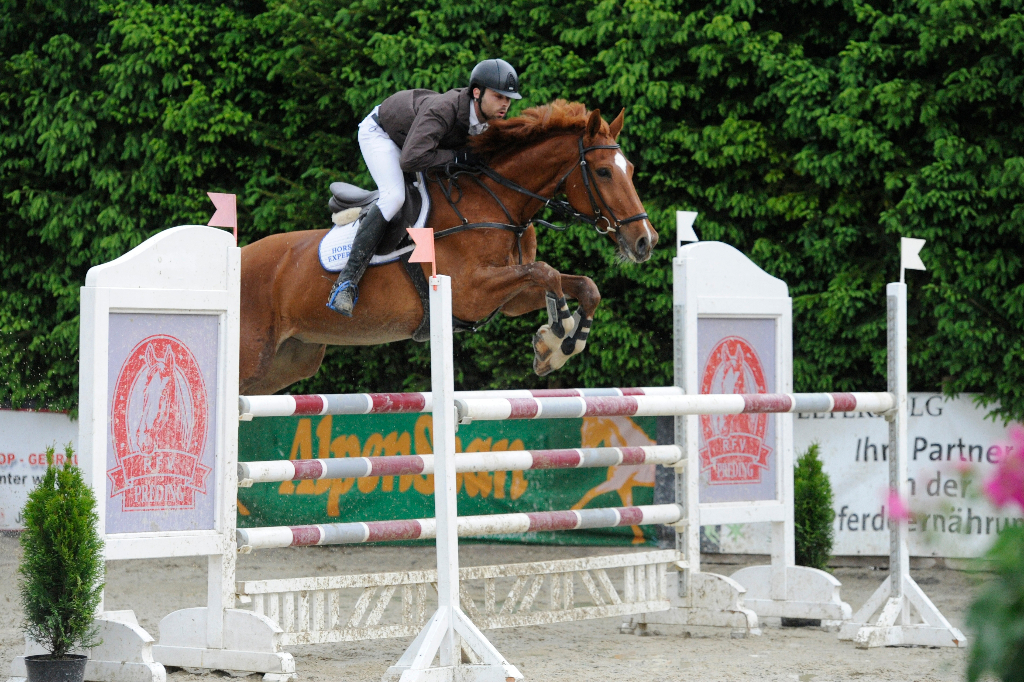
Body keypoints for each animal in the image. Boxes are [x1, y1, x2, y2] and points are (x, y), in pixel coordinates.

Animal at [238, 103, 651, 395]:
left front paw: (555, 349)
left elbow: (583, 286)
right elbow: (546, 272)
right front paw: (556, 333)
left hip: (289, 361)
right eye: (603, 172)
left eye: (630, 169)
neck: (499, 204)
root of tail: (239, 256)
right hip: (252, 358)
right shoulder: (472, 292)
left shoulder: (509, 297)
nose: (646, 241)